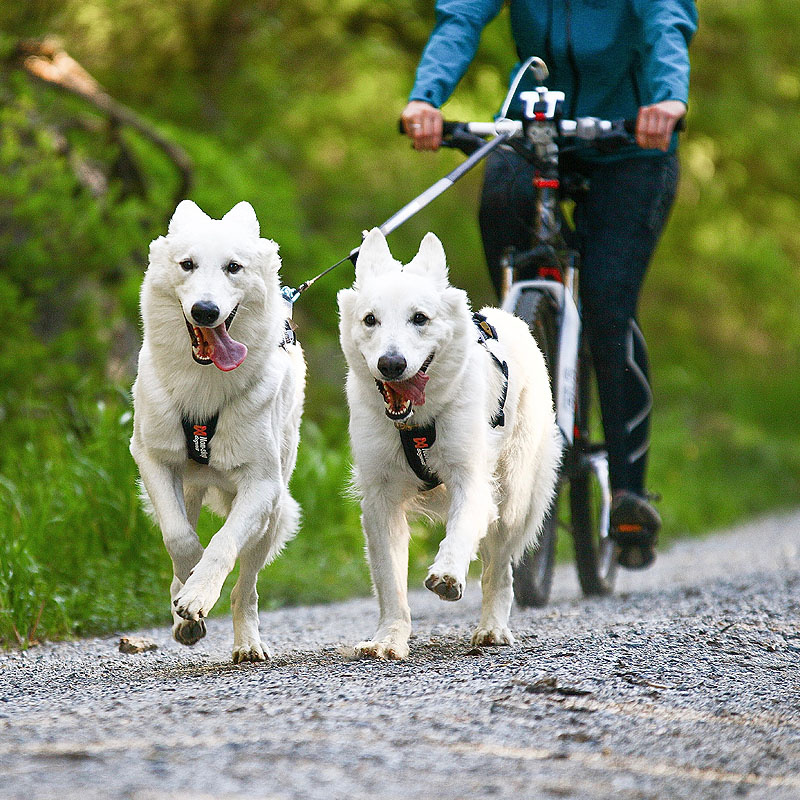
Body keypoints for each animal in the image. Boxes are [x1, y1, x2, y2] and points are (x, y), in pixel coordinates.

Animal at [131, 200, 306, 664]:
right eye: (187, 264)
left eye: (233, 267)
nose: (206, 312)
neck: (204, 385)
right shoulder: (151, 459)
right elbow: (179, 538)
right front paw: (187, 586)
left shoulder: (261, 485)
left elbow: (223, 545)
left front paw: (198, 593)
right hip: (189, 490)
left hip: (273, 516)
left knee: (246, 589)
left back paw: (248, 644)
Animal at [338, 228, 564, 660]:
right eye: (371, 320)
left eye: (420, 318)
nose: (391, 364)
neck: (417, 422)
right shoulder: (380, 500)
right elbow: (390, 583)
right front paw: (389, 639)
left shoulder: (472, 481)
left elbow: (460, 532)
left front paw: (446, 574)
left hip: (513, 500)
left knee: (499, 571)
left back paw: (492, 629)